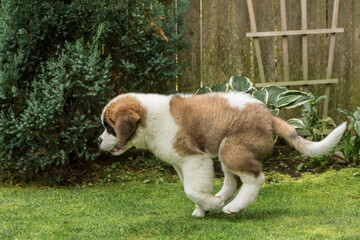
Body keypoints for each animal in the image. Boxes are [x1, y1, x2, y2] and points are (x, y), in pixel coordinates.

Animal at [97, 92, 346, 218]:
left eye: (110, 128)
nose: (98, 141)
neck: (149, 119)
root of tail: (268, 116)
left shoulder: (193, 159)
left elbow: (192, 190)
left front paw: (211, 204)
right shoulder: (181, 164)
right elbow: (190, 189)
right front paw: (202, 209)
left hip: (232, 148)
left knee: (255, 178)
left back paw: (232, 206)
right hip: (226, 149)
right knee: (233, 181)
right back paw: (224, 199)